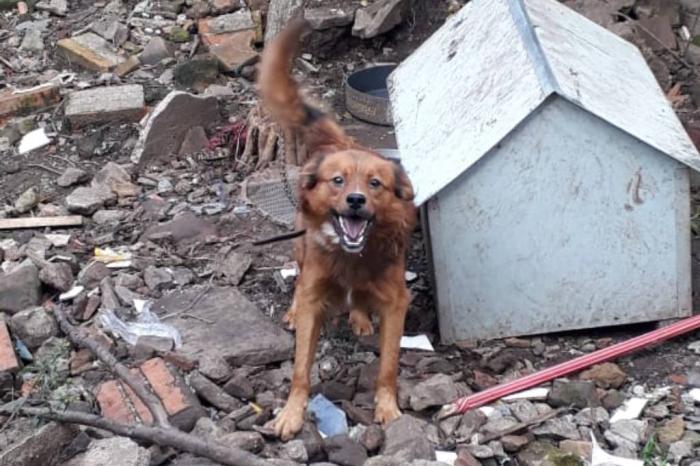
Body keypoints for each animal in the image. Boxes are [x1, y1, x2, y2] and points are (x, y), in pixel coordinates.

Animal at [258, 19, 416, 440]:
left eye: (375, 184)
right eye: (338, 181)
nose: (356, 200)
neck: (351, 258)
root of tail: (336, 142)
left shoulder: (396, 303)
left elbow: (388, 366)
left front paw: (388, 409)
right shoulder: (315, 296)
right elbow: (300, 369)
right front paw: (291, 414)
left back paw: (359, 316)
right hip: (300, 250)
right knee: (297, 278)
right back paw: (295, 309)